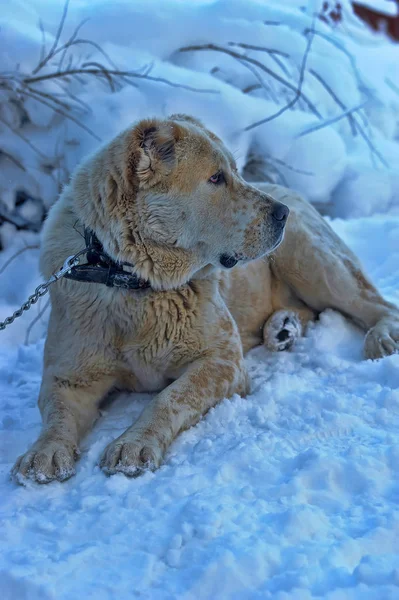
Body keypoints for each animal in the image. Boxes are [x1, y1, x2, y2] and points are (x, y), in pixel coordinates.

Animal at [11, 115, 399, 486]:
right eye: (216, 178)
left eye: (237, 172)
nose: (282, 214)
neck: (135, 281)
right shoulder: (68, 376)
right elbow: (57, 415)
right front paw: (44, 454)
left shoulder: (222, 361)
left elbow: (169, 398)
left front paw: (133, 444)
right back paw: (282, 328)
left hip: (310, 261)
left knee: (376, 304)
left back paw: (381, 337)